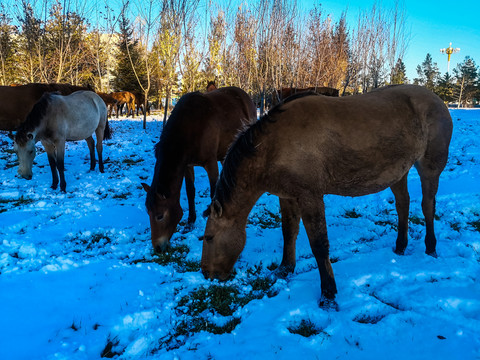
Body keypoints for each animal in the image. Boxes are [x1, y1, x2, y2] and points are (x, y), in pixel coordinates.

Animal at [141, 86, 256, 252]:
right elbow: (190, 192)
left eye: (160, 215)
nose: (157, 248)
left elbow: (213, 190)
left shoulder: (210, 163)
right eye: (148, 213)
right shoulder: (187, 166)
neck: (189, 127)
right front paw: (190, 222)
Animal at [200, 84, 454, 306]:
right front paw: (285, 269)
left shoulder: (310, 196)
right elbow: (289, 232)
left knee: (427, 206)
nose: (206, 273)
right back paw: (400, 246)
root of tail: (437, 100)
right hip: (399, 171)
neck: (272, 147)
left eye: (209, 237)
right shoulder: (288, 196)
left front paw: (328, 294)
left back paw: (430, 247)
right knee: (403, 204)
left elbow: (319, 244)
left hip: (429, 168)